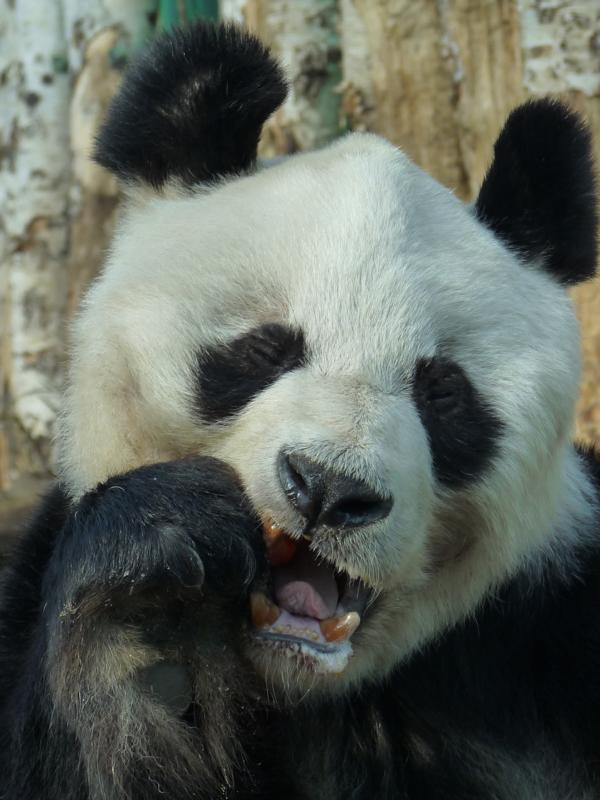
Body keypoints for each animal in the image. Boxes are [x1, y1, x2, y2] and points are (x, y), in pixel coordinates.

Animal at [1, 19, 599, 800]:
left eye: (443, 392)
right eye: (265, 349)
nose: (329, 489)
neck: (296, 683)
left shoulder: (542, 634)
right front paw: (141, 620)